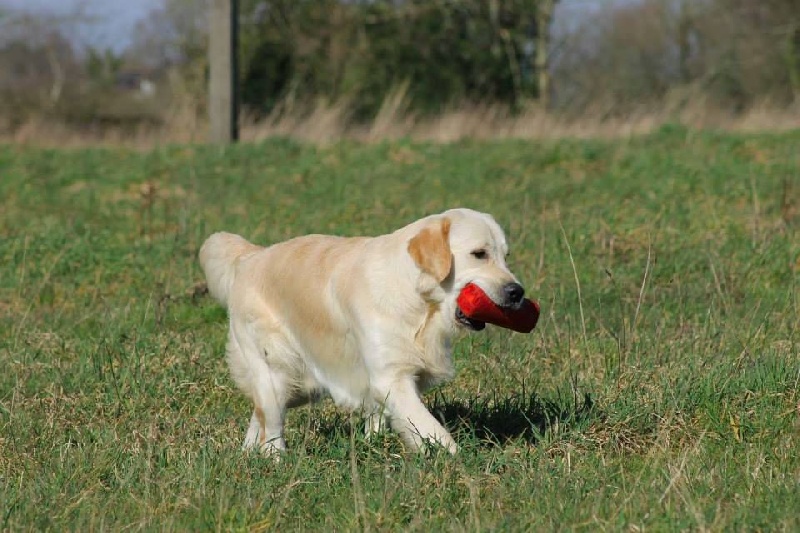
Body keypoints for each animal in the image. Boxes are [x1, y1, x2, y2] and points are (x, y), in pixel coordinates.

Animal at [199, 208, 527, 454]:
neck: (418, 301)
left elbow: (389, 420)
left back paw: (249, 453)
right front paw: (457, 460)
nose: (517, 292)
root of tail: (251, 256)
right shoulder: (391, 377)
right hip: (275, 364)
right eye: (479, 254)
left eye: (506, 256)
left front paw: (375, 445)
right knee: (272, 420)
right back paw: (275, 459)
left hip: (297, 384)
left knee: (261, 414)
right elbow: (430, 426)